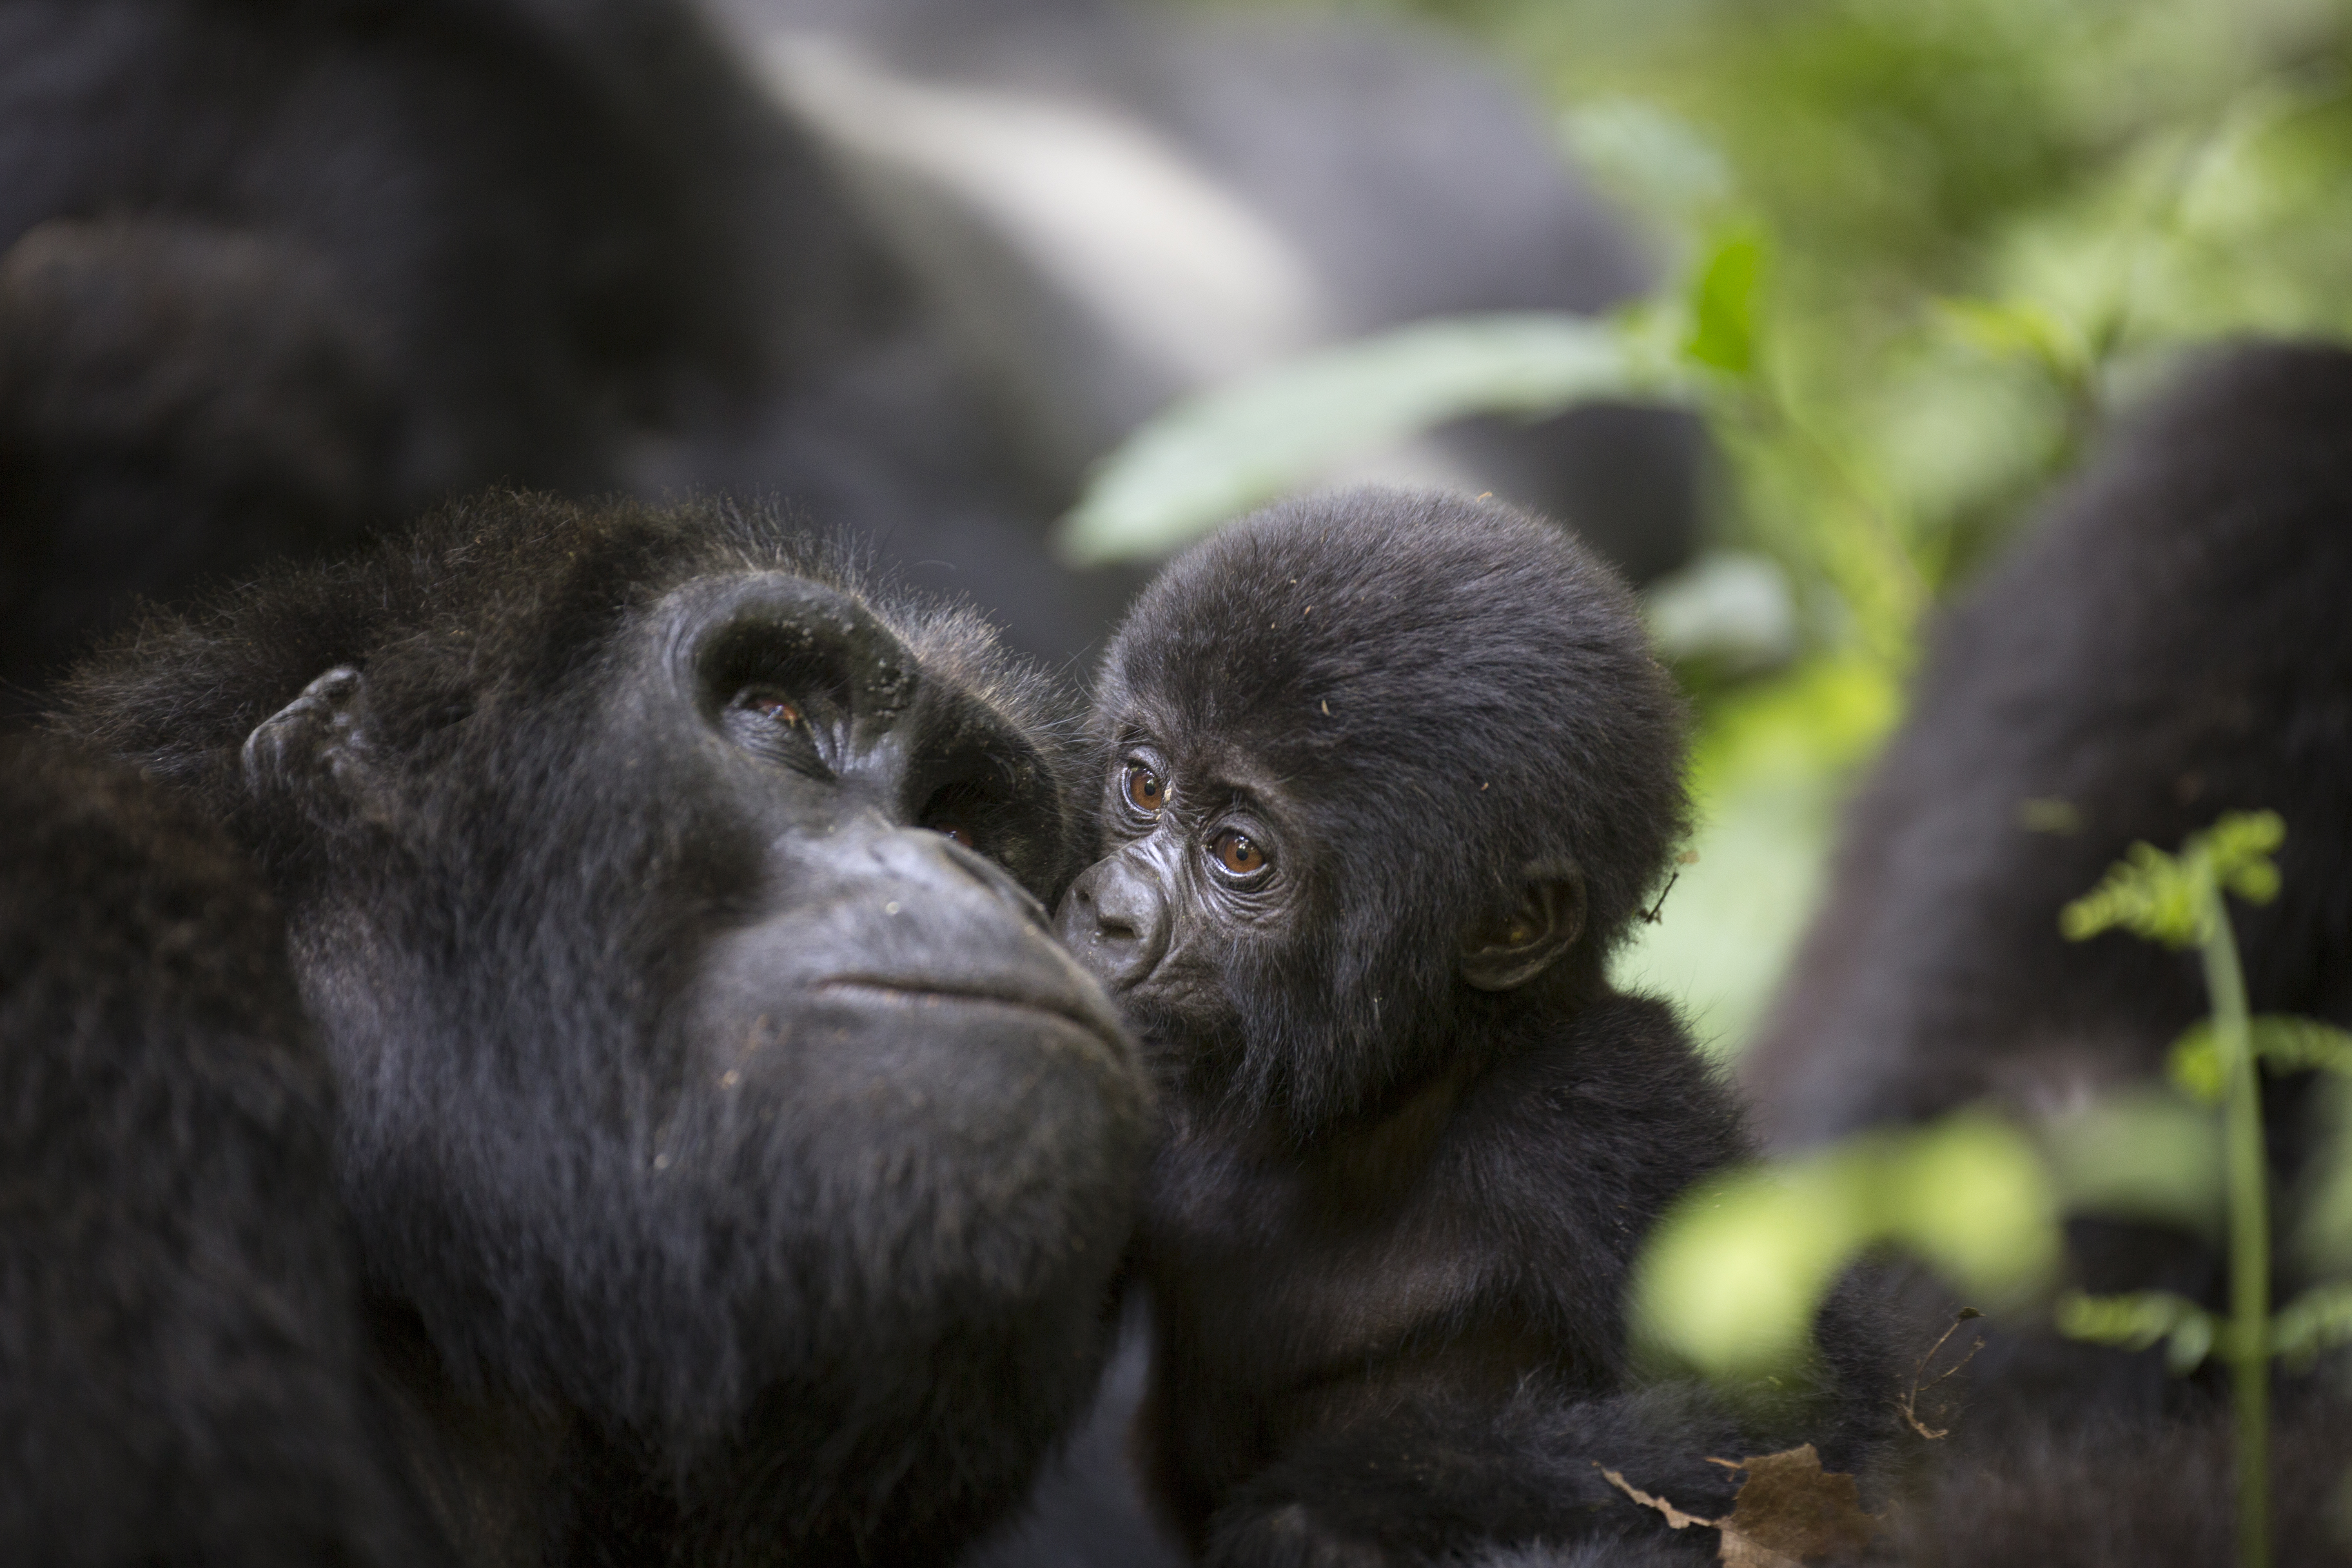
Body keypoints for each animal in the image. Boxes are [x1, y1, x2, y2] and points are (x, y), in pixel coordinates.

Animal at [1058, 493, 1882, 1568]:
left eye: (1238, 852)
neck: (1390, 1087)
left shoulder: (1595, 1103)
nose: (1105, 912)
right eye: (1145, 786)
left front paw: (1317, 1505)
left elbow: (1811, 1437)